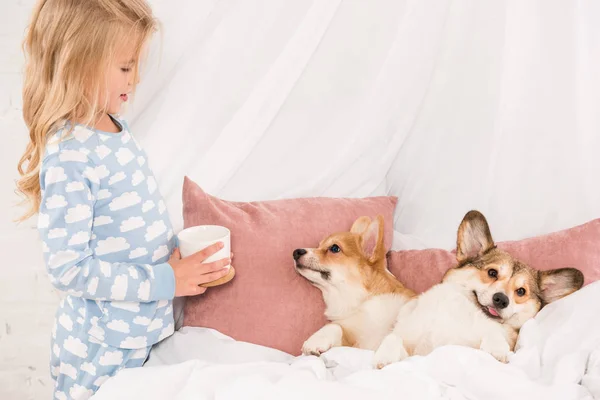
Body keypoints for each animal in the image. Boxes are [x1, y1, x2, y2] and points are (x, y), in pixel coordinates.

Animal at [292, 216, 414, 356]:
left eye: (334, 248)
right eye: (318, 246)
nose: (296, 252)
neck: (359, 301)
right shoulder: (354, 339)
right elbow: (335, 326)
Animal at [372, 211, 584, 370]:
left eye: (521, 292)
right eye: (492, 272)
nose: (501, 299)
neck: (466, 312)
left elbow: (494, 336)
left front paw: (496, 351)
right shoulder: (410, 339)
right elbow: (393, 337)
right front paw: (385, 357)